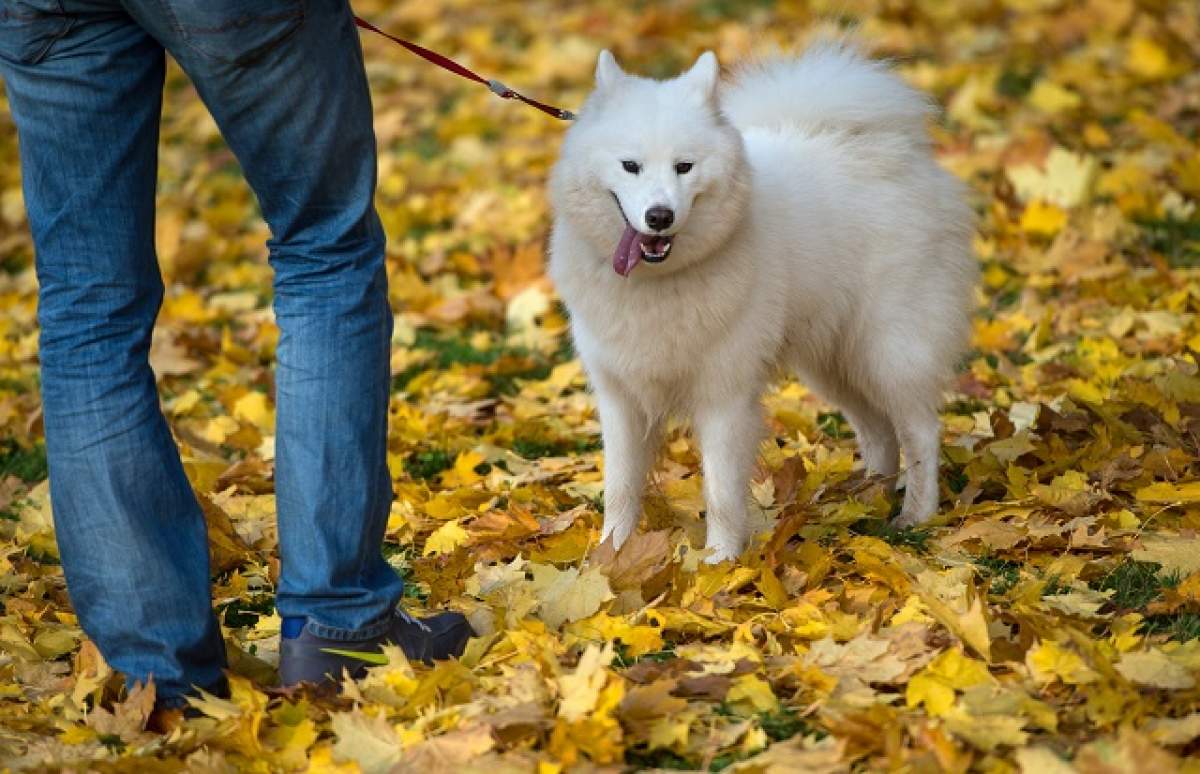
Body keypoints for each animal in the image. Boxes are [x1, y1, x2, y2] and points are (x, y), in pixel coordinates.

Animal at [549, 42, 979, 561]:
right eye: (630, 165)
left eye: (684, 166)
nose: (659, 216)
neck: (658, 283)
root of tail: (893, 153)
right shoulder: (620, 397)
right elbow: (620, 487)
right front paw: (609, 557)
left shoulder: (724, 396)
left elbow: (720, 491)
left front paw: (718, 563)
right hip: (833, 362)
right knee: (878, 431)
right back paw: (866, 499)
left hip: (888, 350)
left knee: (920, 432)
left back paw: (916, 514)